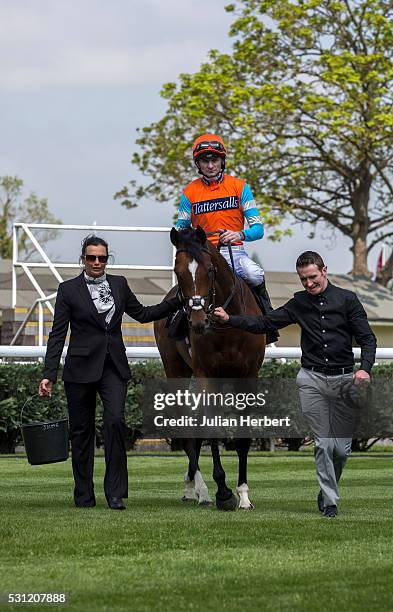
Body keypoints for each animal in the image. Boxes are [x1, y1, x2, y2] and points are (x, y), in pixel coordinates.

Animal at [152, 227, 264, 510]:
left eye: (210, 270)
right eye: (178, 270)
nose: (198, 322)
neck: (229, 327)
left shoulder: (248, 375)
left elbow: (243, 436)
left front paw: (243, 494)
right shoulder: (206, 375)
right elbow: (210, 426)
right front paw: (223, 491)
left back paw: (191, 484)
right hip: (176, 370)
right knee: (185, 427)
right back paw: (200, 490)